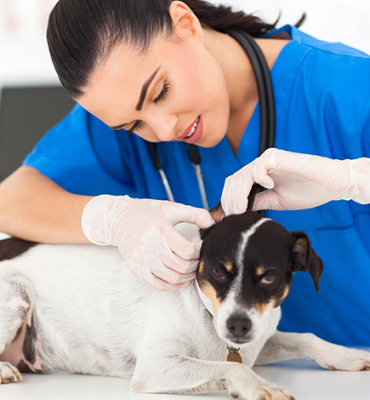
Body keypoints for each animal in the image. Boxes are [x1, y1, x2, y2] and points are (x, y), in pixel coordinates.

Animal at [0, 188, 370, 400]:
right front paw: (259, 385)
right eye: (218, 271)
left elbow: (304, 337)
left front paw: (345, 355)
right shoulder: (156, 366)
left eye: (268, 277)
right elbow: (234, 370)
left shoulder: (259, 341)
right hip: (16, 291)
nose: (238, 326)